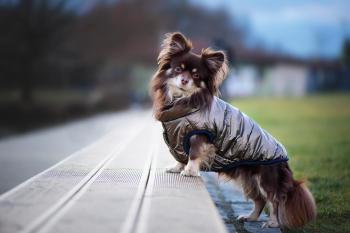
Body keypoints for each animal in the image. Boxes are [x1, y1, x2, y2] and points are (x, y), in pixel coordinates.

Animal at [149, 31, 316, 228]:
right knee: (259, 200)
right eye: (177, 69)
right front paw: (176, 167)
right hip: (248, 179)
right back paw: (250, 217)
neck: (182, 100)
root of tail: (284, 160)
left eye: (196, 76)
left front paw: (189, 171)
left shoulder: (199, 136)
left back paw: (273, 222)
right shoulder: (179, 139)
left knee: (274, 199)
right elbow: (181, 156)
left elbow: (194, 154)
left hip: (265, 178)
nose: (184, 80)